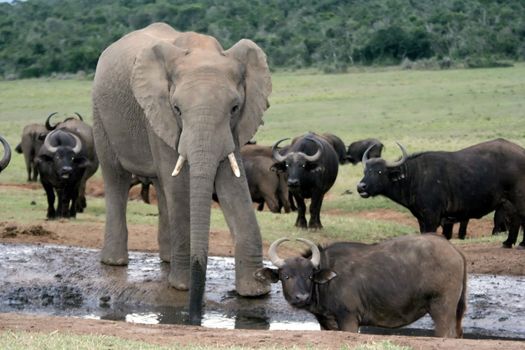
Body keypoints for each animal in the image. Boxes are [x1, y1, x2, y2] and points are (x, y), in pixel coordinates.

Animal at [91, 21, 270, 322]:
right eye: (177, 108)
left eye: (234, 108)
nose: (195, 314)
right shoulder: (156, 110)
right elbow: (180, 187)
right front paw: (182, 286)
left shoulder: (233, 128)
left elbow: (233, 185)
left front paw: (256, 291)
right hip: (100, 113)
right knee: (116, 177)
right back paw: (115, 262)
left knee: (161, 186)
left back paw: (166, 259)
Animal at [256, 234, 464, 338]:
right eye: (286, 276)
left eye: (309, 276)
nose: (301, 297)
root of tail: (455, 251)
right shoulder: (326, 324)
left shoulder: (349, 319)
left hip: (442, 309)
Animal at [356, 138, 524, 247]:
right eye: (366, 170)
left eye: (379, 171)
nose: (361, 187)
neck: (415, 176)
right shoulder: (421, 218)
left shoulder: (432, 217)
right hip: (509, 202)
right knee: (516, 219)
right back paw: (508, 243)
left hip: (518, 197)